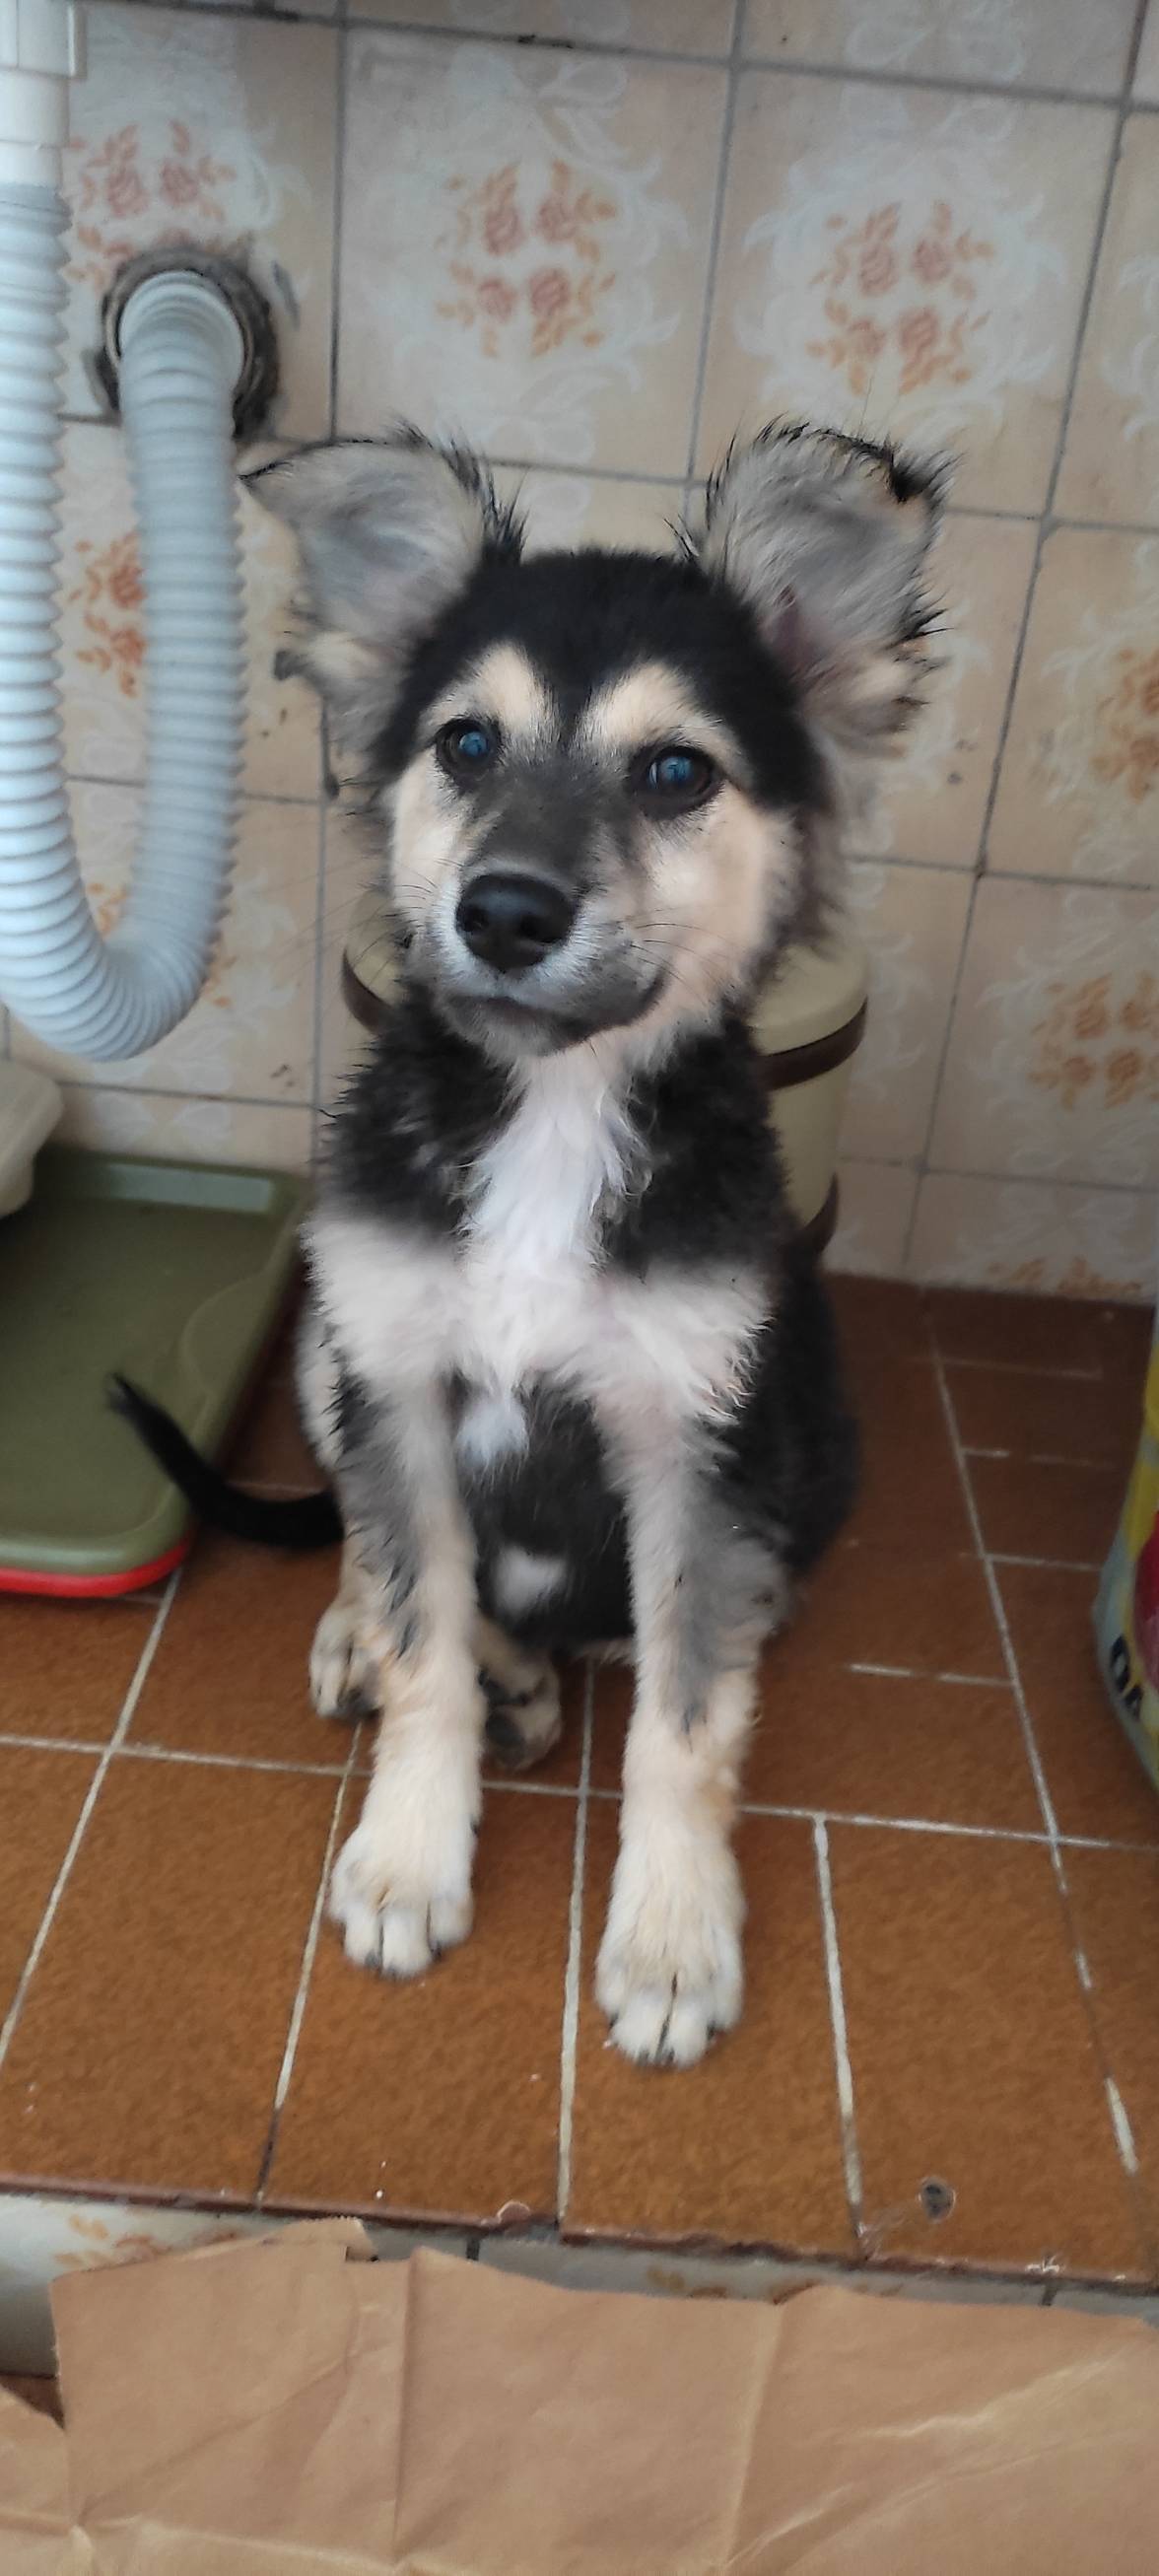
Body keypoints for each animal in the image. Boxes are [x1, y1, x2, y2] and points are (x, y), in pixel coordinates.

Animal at [115, 421, 943, 2068]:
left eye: (677, 771)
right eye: (466, 747)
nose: (500, 911)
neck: (553, 1117)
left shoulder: (699, 1443)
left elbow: (688, 1719)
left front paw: (674, 1936)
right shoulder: (401, 1377)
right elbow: (423, 1630)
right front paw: (408, 1853)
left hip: (815, 1429)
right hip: (326, 1350)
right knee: (381, 1555)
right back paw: (404, 1648)